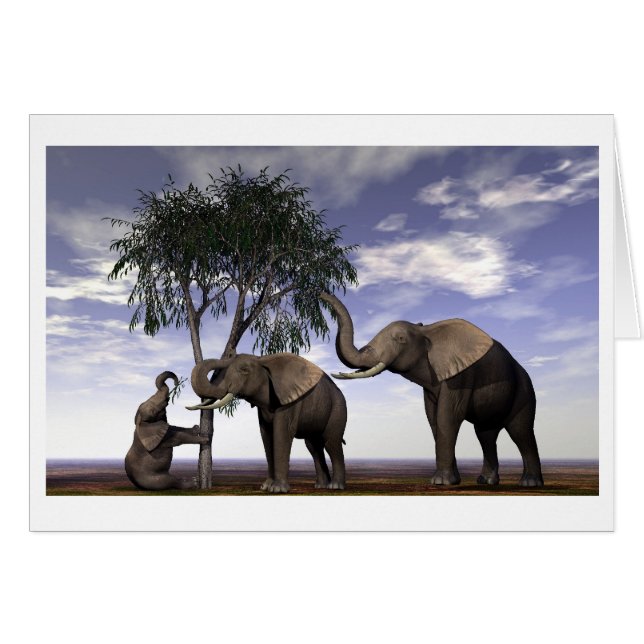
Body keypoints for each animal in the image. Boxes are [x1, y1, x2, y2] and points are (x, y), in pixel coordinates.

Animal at [187, 353, 348, 493]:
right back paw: (321, 486)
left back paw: (335, 486)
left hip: (338, 407)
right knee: (314, 447)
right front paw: (265, 487)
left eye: (244, 370)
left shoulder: (289, 402)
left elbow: (281, 434)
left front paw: (278, 490)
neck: (261, 359)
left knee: (331, 442)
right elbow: (267, 436)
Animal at [320, 292, 543, 487]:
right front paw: (451, 481)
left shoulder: (460, 376)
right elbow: (434, 419)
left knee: (521, 432)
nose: (322, 294)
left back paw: (529, 483)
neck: (427, 331)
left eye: (400, 339)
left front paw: (441, 482)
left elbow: (447, 416)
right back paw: (486, 481)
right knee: (486, 435)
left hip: (524, 391)